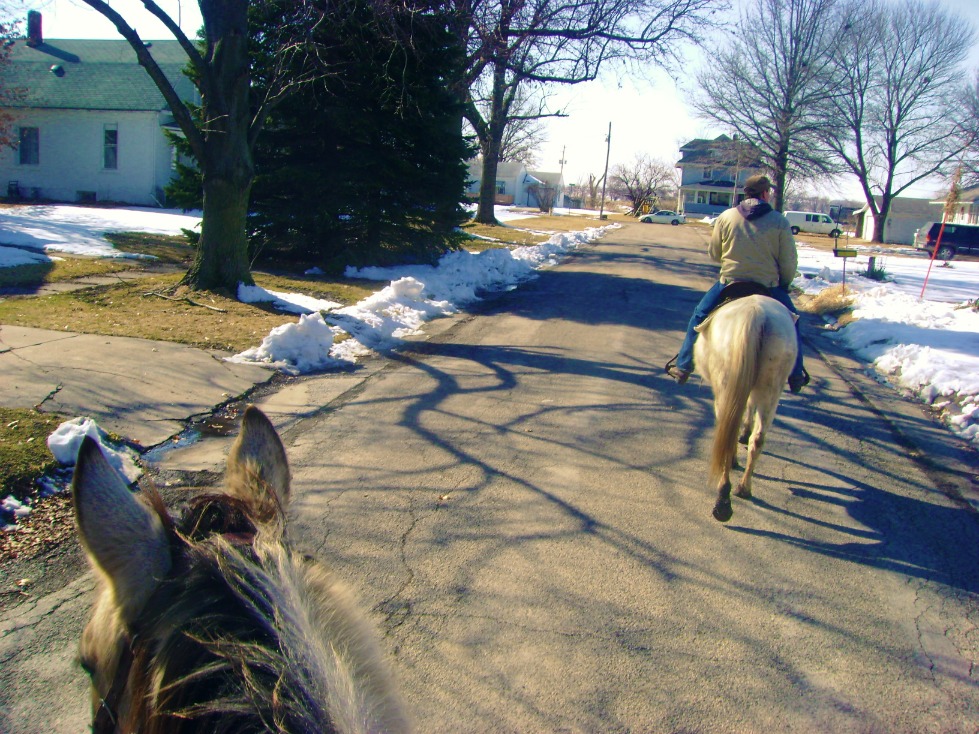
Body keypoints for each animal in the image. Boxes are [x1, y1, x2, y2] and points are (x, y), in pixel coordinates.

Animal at [692, 294, 800, 524]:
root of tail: (757, 315)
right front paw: (745, 433)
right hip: (771, 390)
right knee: (758, 439)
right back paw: (744, 488)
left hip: (725, 388)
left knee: (727, 435)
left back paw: (723, 500)